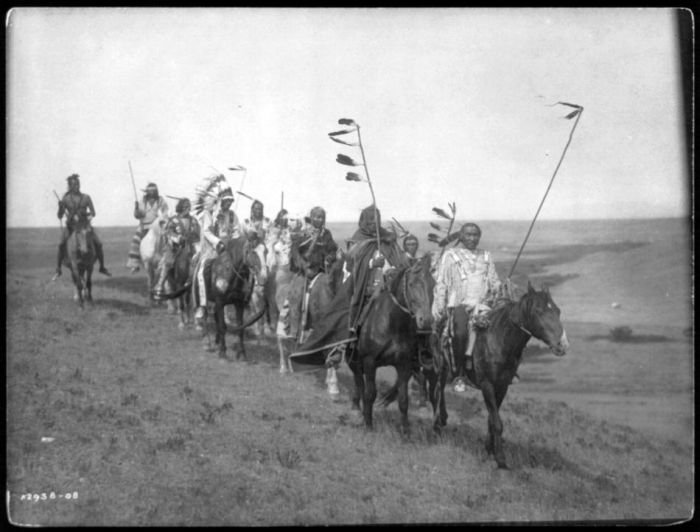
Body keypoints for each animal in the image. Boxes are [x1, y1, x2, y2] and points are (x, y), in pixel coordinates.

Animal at [350, 256, 438, 434]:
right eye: (411, 284)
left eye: (433, 284)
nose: (425, 321)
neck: (392, 324)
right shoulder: (369, 361)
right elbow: (370, 393)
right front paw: (369, 425)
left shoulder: (404, 364)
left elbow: (403, 399)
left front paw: (405, 430)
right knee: (358, 380)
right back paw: (357, 411)